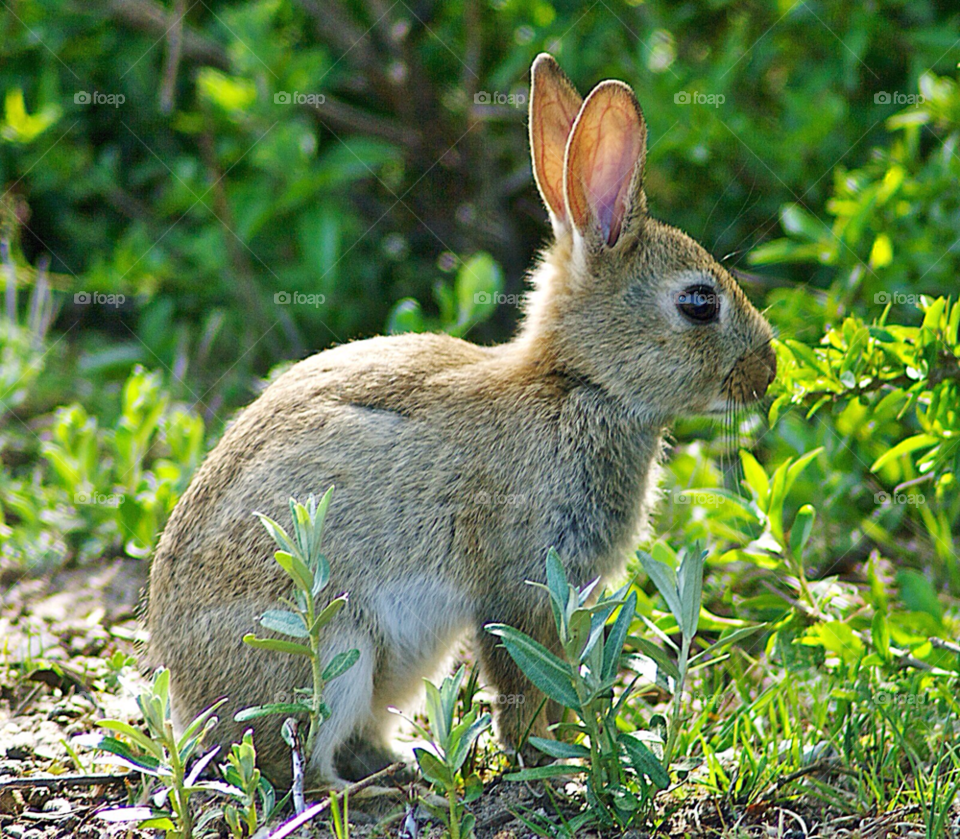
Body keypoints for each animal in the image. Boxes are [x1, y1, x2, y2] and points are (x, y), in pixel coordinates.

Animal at [145, 53, 776, 788]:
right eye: (699, 304)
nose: (769, 370)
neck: (578, 385)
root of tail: (191, 704)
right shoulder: (522, 583)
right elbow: (525, 681)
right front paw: (551, 764)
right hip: (328, 644)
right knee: (287, 760)